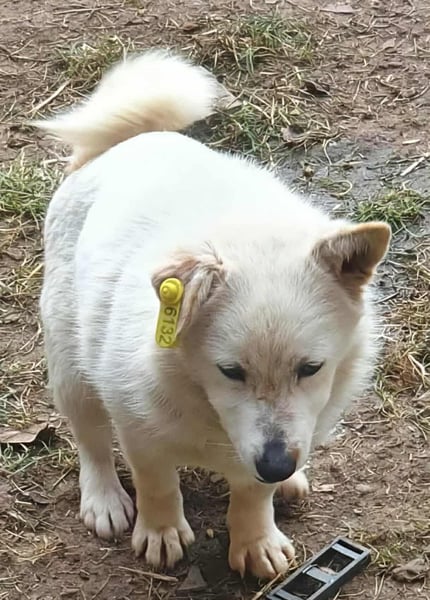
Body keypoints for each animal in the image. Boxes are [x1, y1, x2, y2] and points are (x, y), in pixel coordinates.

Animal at [36, 51, 390, 579]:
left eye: (311, 368)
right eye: (230, 371)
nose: (278, 465)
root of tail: (124, 144)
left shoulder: (272, 447)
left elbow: (253, 494)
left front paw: (255, 539)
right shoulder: (137, 426)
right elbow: (156, 481)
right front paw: (161, 530)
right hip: (71, 366)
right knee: (91, 439)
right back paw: (104, 498)